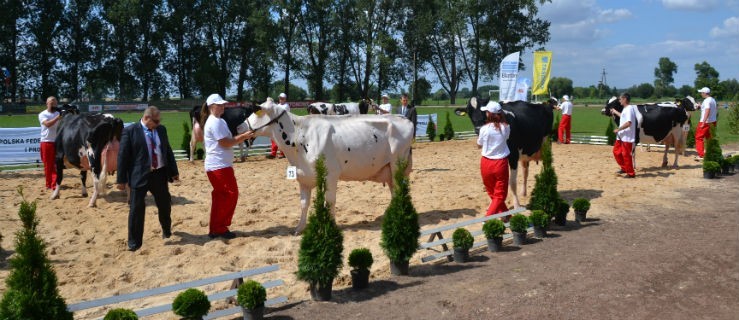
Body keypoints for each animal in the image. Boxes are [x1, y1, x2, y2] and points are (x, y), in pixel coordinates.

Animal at [246, 97, 414, 232]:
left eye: (255, 110)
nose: (240, 126)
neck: (300, 136)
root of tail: (404, 119)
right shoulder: (303, 176)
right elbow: (304, 203)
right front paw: (300, 228)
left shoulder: (331, 174)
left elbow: (330, 201)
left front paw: (330, 226)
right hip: (390, 168)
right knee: (394, 191)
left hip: (397, 164)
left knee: (399, 190)